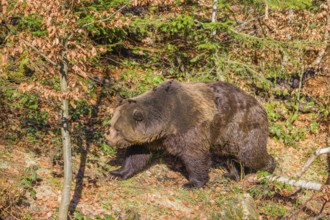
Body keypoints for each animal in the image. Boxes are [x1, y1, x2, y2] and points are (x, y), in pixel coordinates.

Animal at [106, 80, 276, 188]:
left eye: (118, 129)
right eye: (110, 126)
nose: (108, 140)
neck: (165, 122)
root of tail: (260, 106)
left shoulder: (189, 127)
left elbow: (194, 154)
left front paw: (192, 183)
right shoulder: (152, 139)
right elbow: (137, 154)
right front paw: (117, 172)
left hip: (241, 126)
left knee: (249, 154)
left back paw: (268, 167)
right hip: (223, 138)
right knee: (230, 157)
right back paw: (233, 175)